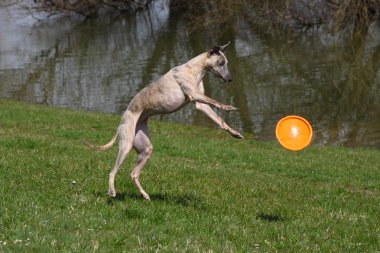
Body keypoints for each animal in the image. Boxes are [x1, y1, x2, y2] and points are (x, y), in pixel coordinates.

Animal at [85, 41, 242, 200]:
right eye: (221, 63)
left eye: (226, 63)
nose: (230, 79)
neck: (194, 69)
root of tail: (120, 123)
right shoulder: (195, 95)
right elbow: (215, 102)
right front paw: (228, 107)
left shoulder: (200, 104)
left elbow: (219, 120)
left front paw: (235, 133)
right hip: (126, 144)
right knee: (112, 171)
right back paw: (112, 191)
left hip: (145, 149)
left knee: (133, 174)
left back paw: (145, 195)